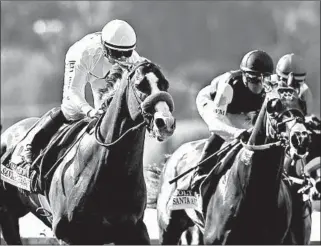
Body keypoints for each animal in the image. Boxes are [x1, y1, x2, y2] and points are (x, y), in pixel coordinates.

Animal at [0, 60, 175, 245]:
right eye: (140, 85)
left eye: (165, 85)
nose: (165, 122)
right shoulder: (69, 235)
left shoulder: (134, 229)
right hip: (7, 214)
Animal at [146, 85, 314, 243]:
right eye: (273, 107)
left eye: (302, 105)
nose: (300, 137)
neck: (254, 192)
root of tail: (173, 156)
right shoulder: (215, 239)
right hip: (167, 228)